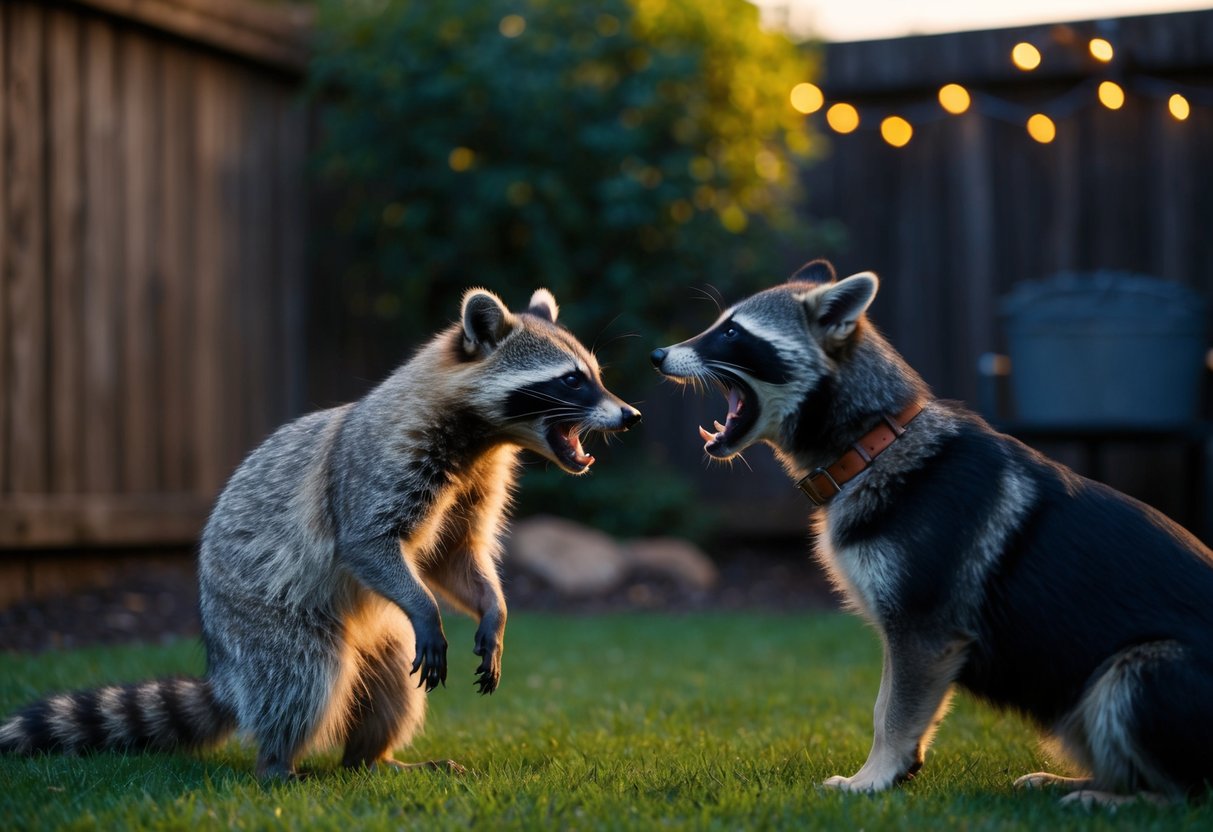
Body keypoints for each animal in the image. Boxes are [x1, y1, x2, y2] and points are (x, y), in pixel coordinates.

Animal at [1, 288, 640, 779]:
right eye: (572, 382)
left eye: (595, 377)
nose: (630, 414)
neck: (485, 437)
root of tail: (225, 667)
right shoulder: (382, 461)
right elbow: (367, 542)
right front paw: (427, 606)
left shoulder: (476, 483)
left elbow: (453, 558)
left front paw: (494, 609)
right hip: (267, 623)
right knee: (304, 679)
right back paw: (277, 763)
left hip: (382, 640)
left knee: (390, 688)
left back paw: (374, 758)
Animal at [652, 260, 1213, 805]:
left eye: (731, 332)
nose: (657, 354)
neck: (874, 444)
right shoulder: (903, 629)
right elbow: (887, 701)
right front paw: (896, 766)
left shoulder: (924, 624)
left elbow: (895, 710)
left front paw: (874, 776)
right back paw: (1089, 782)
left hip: (1141, 672)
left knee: (1182, 786)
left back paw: (1126, 797)